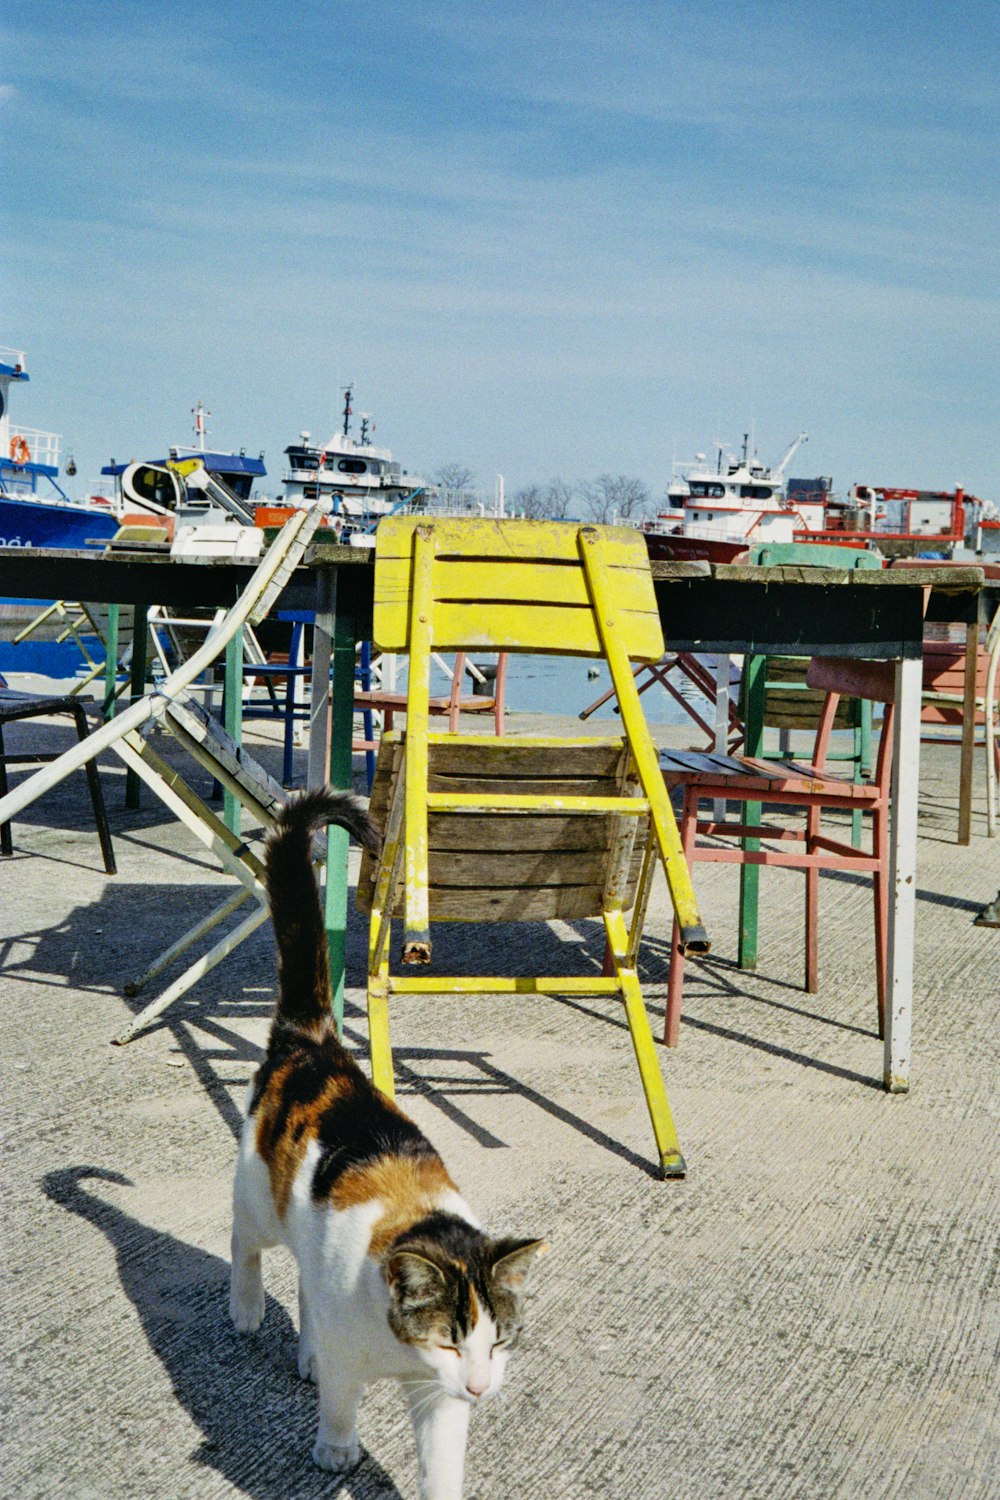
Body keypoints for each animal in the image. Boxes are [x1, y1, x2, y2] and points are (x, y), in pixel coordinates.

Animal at [229, 792, 548, 1494]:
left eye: (499, 1341)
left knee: (305, 1282)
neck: (402, 1352)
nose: (483, 1387)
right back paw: (247, 1308)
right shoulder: (363, 1352)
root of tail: (314, 1039)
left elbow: (441, 1460)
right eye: (449, 1341)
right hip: (260, 1192)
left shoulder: (442, 1398)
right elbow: (342, 1400)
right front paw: (337, 1451)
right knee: (245, 1240)